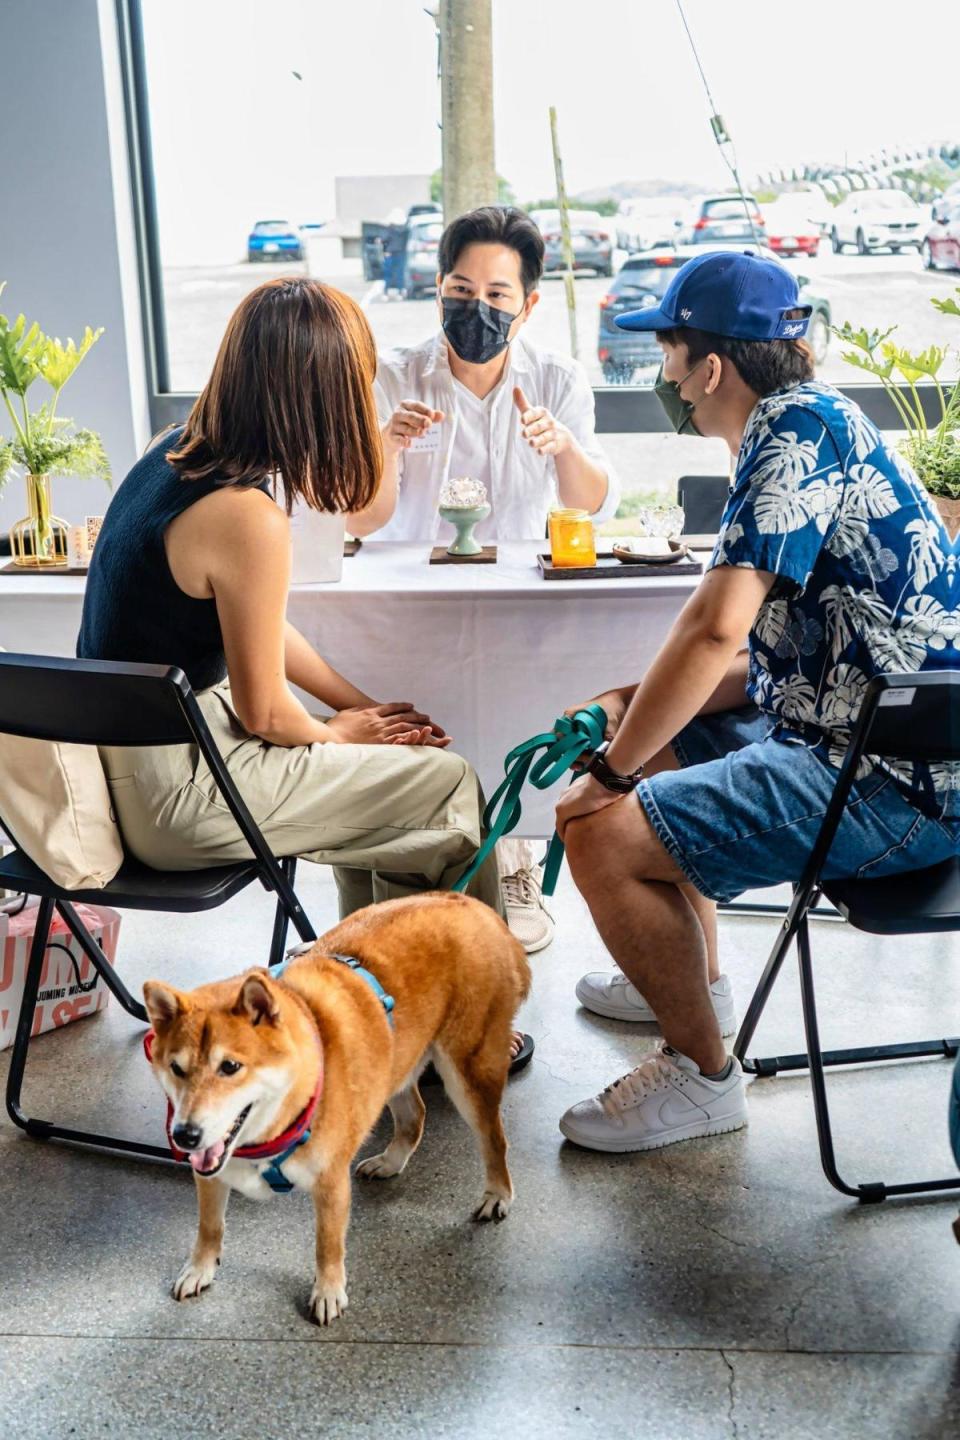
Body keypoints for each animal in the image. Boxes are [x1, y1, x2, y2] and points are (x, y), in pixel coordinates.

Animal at [143, 887, 532, 1324]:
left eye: (230, 1067)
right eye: (176, 1068)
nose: (185, 1136)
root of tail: (470, 904)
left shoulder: (330, 1181)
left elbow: (327, 1243)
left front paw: (328, 1291)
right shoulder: (210, 1173)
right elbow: (209, 1227)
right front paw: (200, 1269)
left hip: (468, 1071)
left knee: (493, 1138)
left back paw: (497, 1193)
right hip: (392, 1064)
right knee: (415, 1117)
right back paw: (390, 1162)